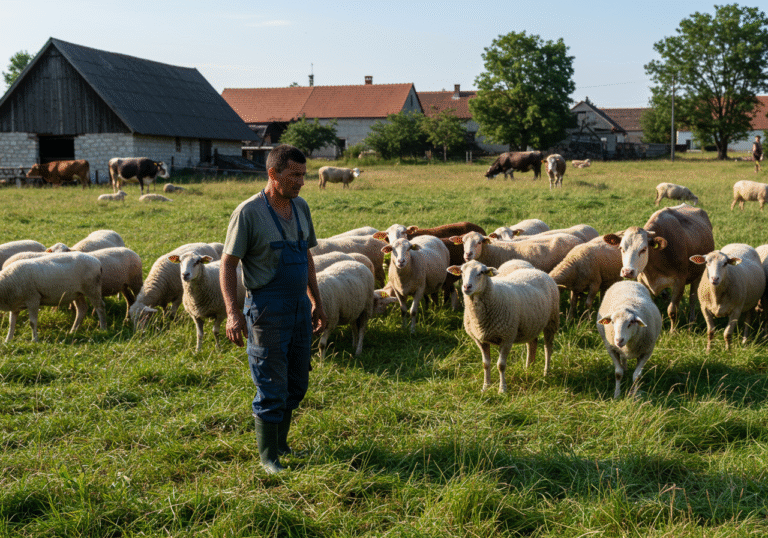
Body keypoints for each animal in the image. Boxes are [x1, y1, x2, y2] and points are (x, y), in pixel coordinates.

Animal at [447, 261, 559, 393]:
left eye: (481, 272)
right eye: (462, 272)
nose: (466, 287)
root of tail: (538, 271)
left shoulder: (507, 338)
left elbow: (501, 365)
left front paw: (502, 389)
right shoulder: (480, 340)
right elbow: (485, 364)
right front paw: (486, 387)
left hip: (551, 321)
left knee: (548, 348)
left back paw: (546, 372)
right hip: (531, 324)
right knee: (532, 344)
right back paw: (528, 369)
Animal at [602, 203, 714, 331]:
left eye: (643, 249)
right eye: (621, 248)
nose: (627, 271)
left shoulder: (679, 282)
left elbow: (672, 310)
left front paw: (673, 331)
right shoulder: (642, 281)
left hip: (698, 275)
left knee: (692, 299)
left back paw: (691, 323)